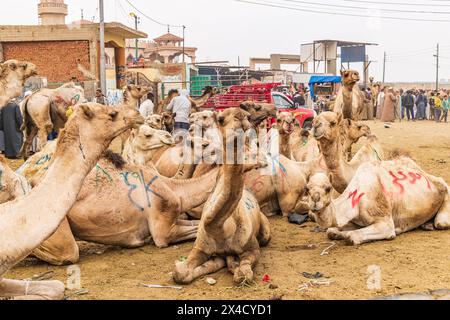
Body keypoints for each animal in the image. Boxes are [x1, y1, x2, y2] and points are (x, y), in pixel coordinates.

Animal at [172, 107, 270, 284]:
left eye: (248, 116)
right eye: (221, 118)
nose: (241, 116)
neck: (220, 228)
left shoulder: (252, 248)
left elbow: (243, 274)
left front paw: (238, 268)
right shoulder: (200, 247)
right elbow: (180, 272)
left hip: (264, 230)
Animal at [306, 157, 450, 245]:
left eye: (328, 188)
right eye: (307, 189)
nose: (315, 200)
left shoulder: (385, 222)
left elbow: (351, 236)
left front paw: (395, 232)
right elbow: (330, 231)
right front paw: (338, 233)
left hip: (445, 192)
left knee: (442, 223)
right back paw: (427, 225)